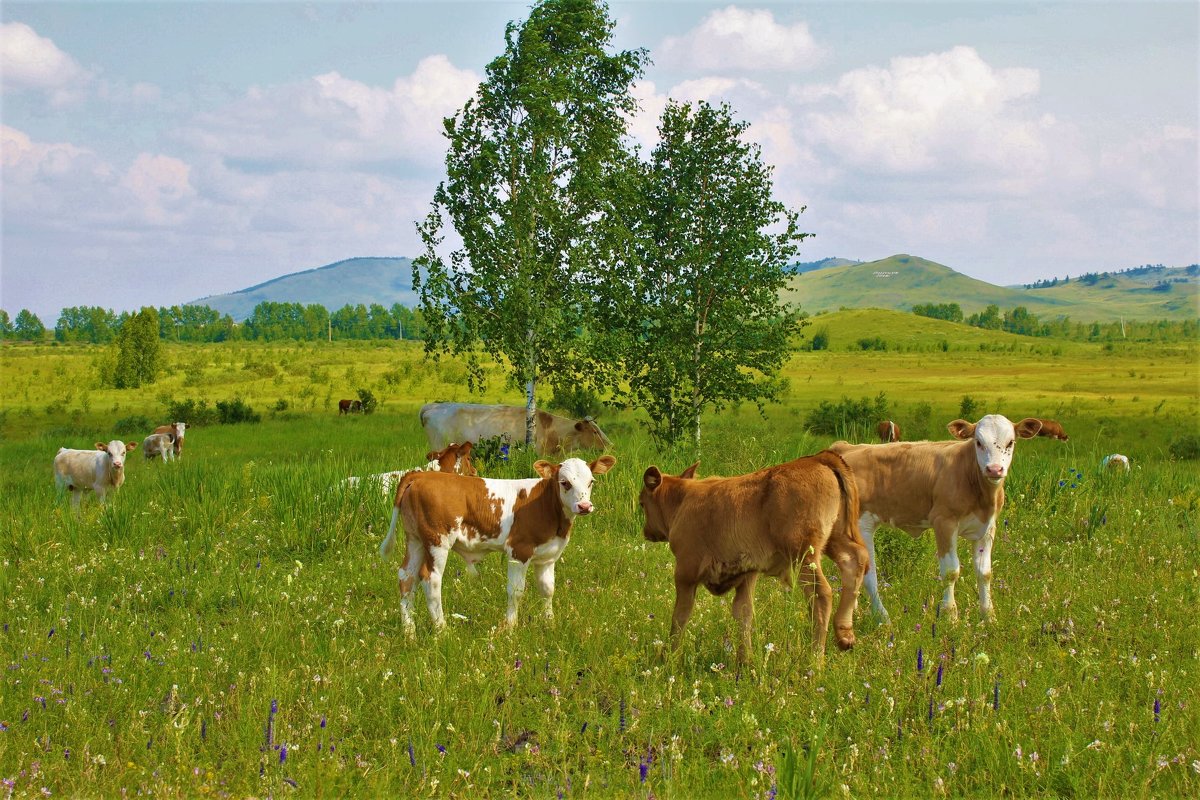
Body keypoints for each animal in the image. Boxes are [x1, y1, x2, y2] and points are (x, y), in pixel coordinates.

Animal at [376, 455, 619, 633]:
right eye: (565, 482)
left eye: (591, 482)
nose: (585, 506)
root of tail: (420, 475)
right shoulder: (519, 551)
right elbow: (516, 591)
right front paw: (510, 627)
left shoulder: (547, 556)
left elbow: (548, 589)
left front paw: (549, 623)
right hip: (437, 541)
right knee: (430, 579)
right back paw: (442, 630)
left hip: (415, 539)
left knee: (406, 577)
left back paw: (409, 632)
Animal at [643, 453, 868, 666]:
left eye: (643, 504)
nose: (647, 532)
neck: (683, 500)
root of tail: (817, 458)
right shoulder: (747, 574)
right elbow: (743, 613)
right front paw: (745, 660)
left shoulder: (685, 572)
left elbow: (680, 615)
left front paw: (670, 657)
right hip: (834, 538)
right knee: (856, 559)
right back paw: (845, 634)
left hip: (804, 554)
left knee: (821, 594)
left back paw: (815, 661)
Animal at [830, 417, 1046, 623]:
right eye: (978, 442)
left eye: (1010, 442)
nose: (994, 469)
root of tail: (844, 447)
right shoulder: (944, 522)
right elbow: (951, 571)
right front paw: (950, 616)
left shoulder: (987, 528)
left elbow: (984, 573)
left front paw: (989, 617)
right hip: (861, 526)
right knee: (868, 575)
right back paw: (882, 618)